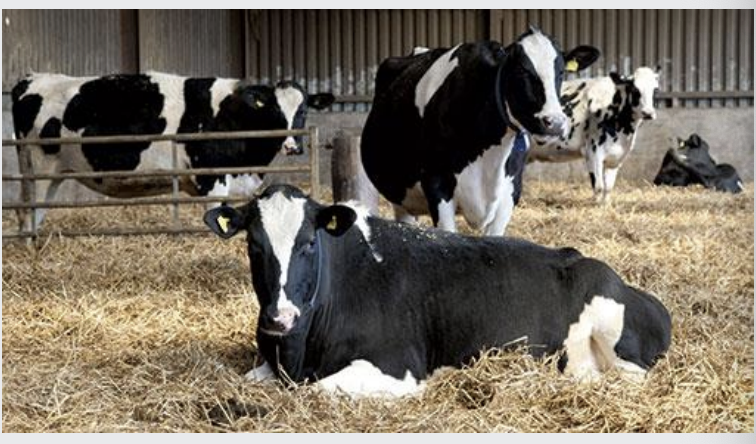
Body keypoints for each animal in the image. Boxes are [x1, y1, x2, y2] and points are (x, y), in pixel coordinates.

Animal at [10, 71, 335, 231]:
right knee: (28, 214)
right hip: (39, 171)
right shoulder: (211, 179)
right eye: (274, 110)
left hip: (51, 174)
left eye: (303, 110)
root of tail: (31, 79)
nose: (293, 145)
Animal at [203, 184, 672, 398]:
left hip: (613, 336)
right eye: (253, 244)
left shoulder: (397, 365)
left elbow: (319, 389)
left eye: (308, 243)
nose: (280, 318)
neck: (297, 352)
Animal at [360, 27, 600, 235]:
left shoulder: (510, 191)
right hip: (399, 194)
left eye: (560, 72)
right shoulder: (436, 185)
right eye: (522, 70)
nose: (556, 122)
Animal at [528, 67, 661, 204]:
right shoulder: (593, 151)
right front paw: (597, 205)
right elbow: (598, 186)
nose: (648, 113)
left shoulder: (616, 157)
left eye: (656, 89)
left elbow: (608, 187)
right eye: (635, 89)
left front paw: (606, 205)